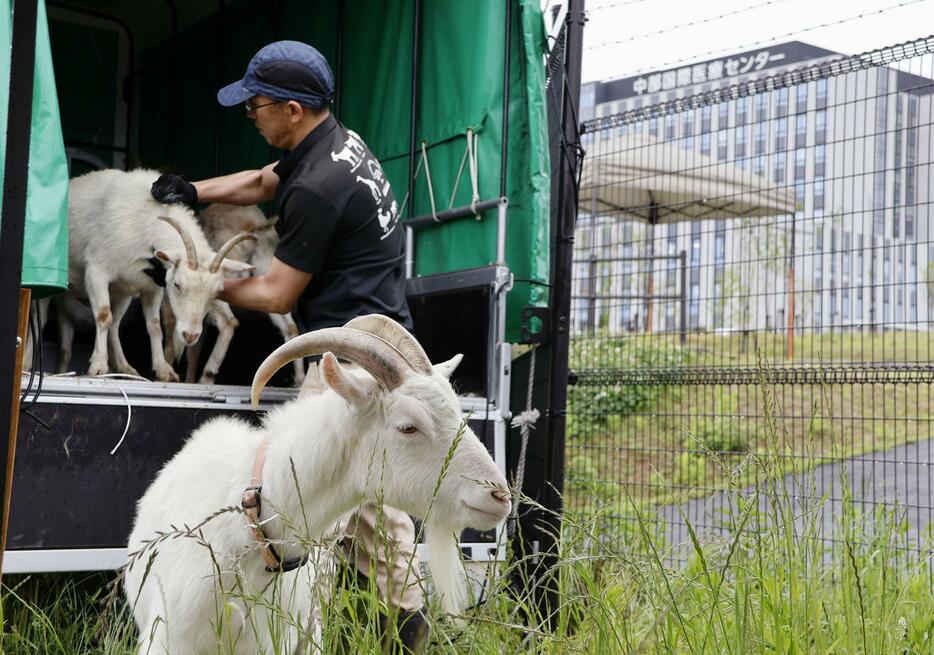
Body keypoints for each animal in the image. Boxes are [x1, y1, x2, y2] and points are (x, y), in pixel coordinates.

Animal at [64, 169, 256, 382]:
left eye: (217, 292)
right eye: (177, 284)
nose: (190, 336)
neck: (143, 221)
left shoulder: (152, 285)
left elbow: (154, 326)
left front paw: (163, 369)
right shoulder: (97, 272)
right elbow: (103, 316)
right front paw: (98, 365)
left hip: (123, 291)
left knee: (116, 325)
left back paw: (125, 367)